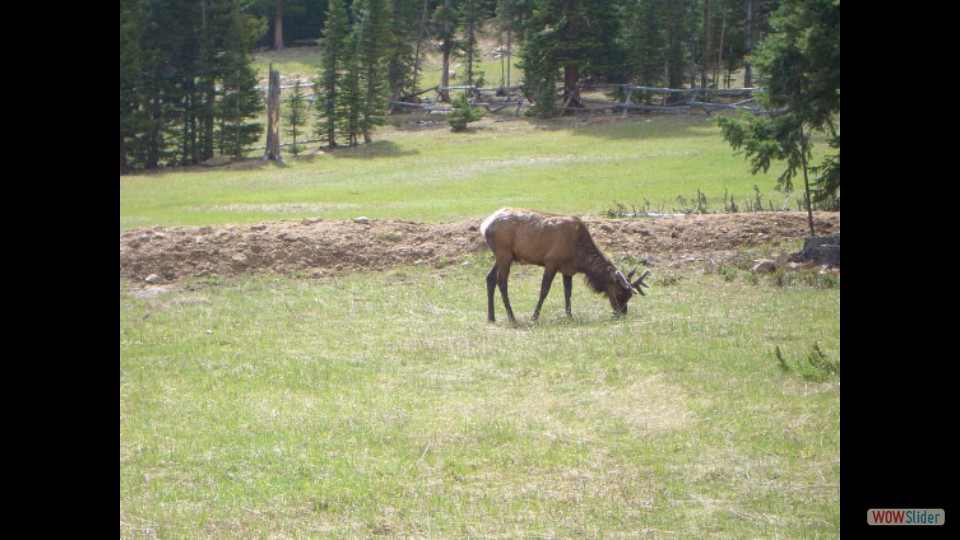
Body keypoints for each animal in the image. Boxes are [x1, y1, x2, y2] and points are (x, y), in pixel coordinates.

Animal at [480, 208, 652, 322]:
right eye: (621, 292)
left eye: (629, 295)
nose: (622, 314)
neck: (579, 258)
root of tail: (485, 226)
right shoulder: (551, 261)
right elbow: (544, 290)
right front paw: (534, 316)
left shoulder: (567, 270)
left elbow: (568, 292)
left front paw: (569, 315)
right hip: (504, 252)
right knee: (502, 282)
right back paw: (512, 318)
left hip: (503, 255)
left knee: (490, 278)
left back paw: (491, 317)